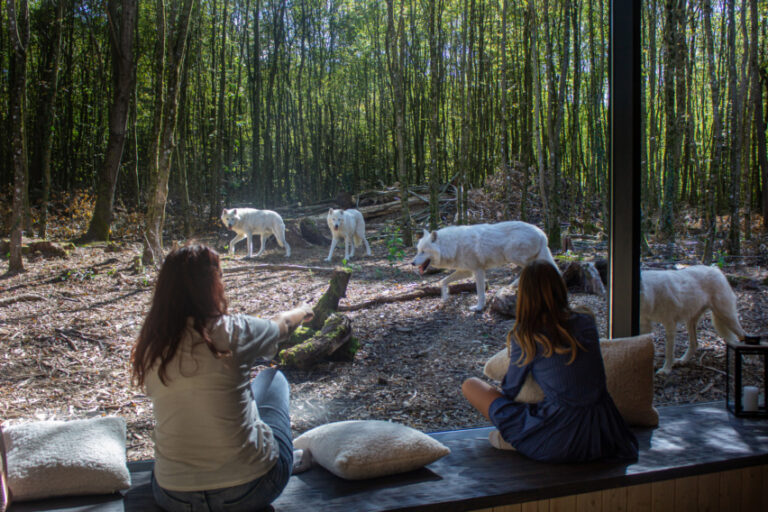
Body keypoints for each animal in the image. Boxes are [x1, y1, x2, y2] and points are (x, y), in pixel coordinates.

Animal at [412, 221, 556, 312]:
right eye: (418, 250)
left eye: (423, 251)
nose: (412, 263)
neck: (452, 245)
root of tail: (542, 234)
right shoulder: (466, 271)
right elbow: (443, 281)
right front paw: (445, 297)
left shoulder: (478, 270)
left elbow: (480, 292)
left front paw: (478, 308)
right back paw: (514, 285)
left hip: (512, 256)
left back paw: (515, 284)